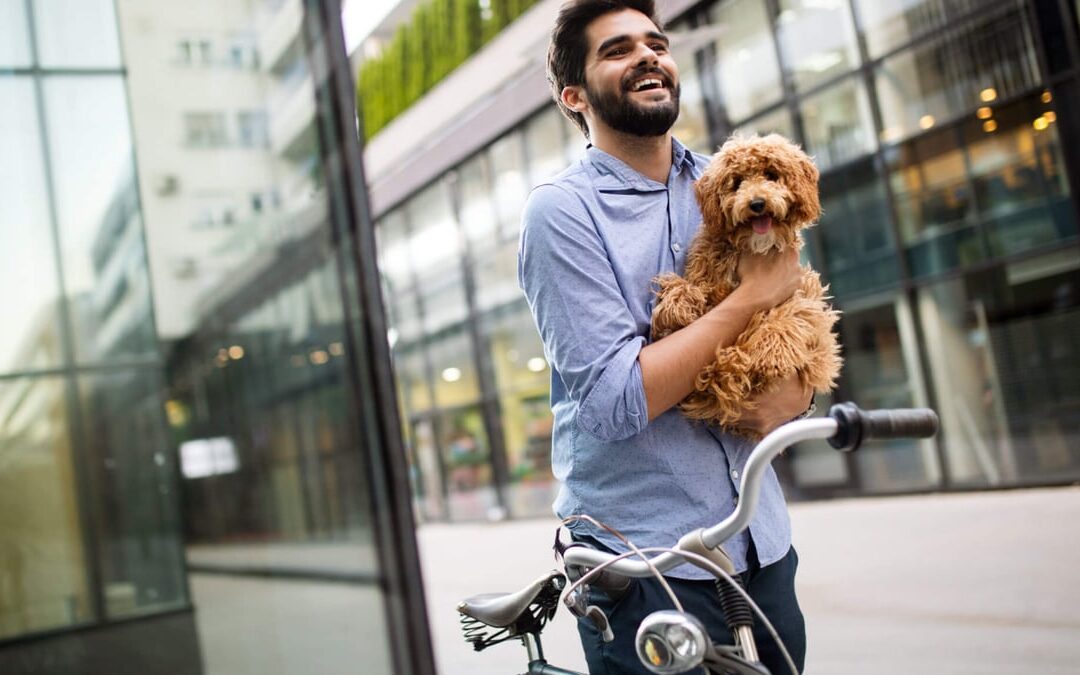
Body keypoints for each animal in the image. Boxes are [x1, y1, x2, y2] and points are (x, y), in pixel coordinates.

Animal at [648, 133, 842, 434]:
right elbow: (689, 286)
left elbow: (791, 314)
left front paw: (771, 353)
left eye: (772, 175)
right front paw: (677, 305)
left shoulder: (805, 293)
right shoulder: (707, 270)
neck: (754, 246)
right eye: (737, 182)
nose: (757, 203)